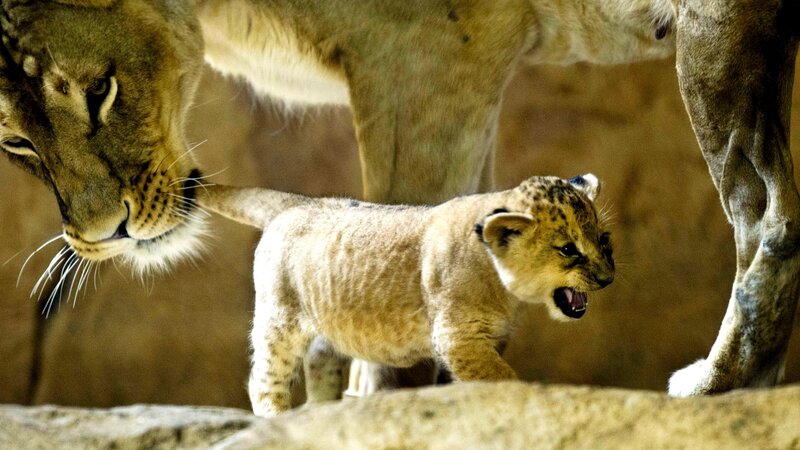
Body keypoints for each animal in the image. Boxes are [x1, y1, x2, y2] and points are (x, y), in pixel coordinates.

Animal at [0, 0, 796, 398]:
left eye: (100, 91)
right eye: (12, 141)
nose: (108, 233)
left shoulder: (427, 53)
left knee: (767, 212)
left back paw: (721, 386)